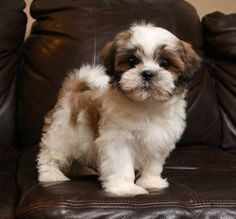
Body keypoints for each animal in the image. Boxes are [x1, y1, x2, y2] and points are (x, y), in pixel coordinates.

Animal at [37, 23, 201, 196]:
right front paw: (126, 188)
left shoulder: (158, 139)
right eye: (132, 61)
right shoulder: (118, 140)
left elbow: (153, 164)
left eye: (165, 63)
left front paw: (151, 182)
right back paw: (51, 175)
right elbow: (122, 164)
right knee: (49, 155)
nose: (148, 73)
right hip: (61, 134)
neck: (147, 105)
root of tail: (71, 93)